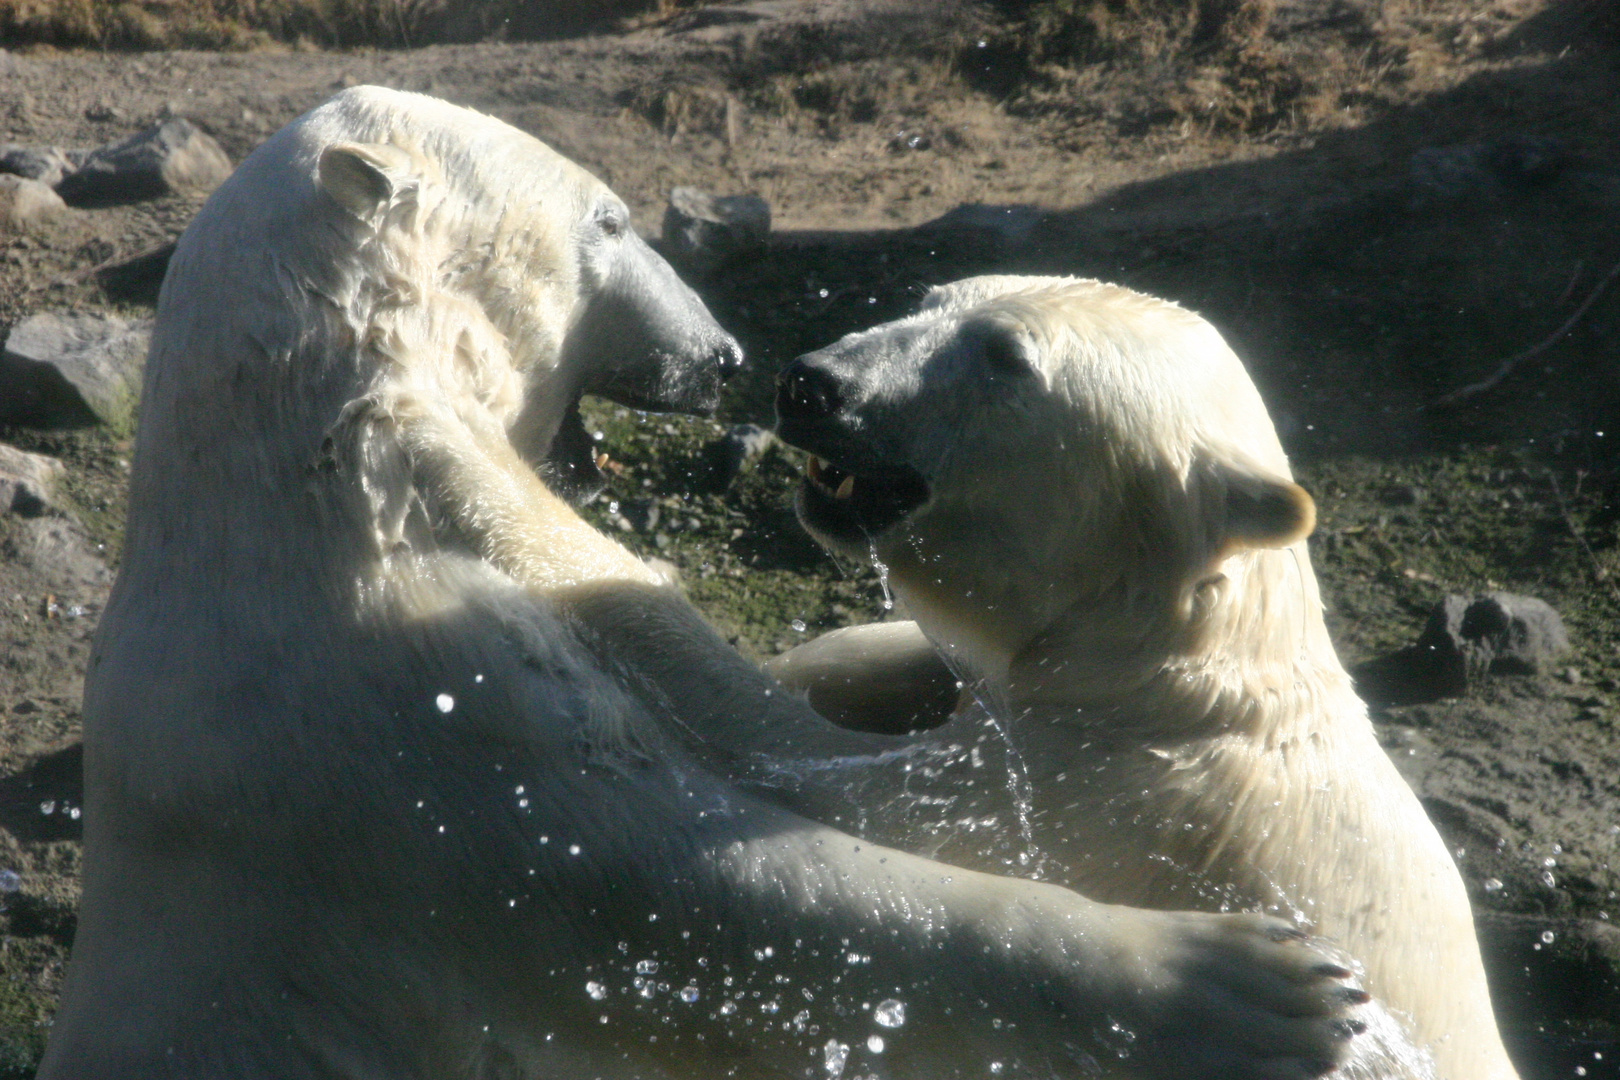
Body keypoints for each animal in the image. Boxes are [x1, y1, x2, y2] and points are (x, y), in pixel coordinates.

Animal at [38, 95, 1367, 1080]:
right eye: (613, 218)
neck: (302, 491)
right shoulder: (397, 725)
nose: (727, 356)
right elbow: (696, 898)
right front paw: (1261, 988)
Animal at [748, 276, 1516, 1080]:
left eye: (1006, 356)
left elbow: (858, 798)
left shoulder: (1094, 804)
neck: (1164, 681)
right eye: (928, 301)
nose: (813, 384)